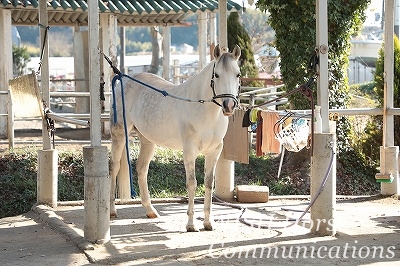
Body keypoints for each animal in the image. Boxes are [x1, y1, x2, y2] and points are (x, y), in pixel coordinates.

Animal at [108, 44, 241, 232]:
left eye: (238, 74)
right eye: (217, 74)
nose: (229, 105)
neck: (205, 111)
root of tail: (123, 80)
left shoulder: (214, 151)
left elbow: (208, 183)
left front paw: (208, 222)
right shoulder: (189, 151)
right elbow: (192, 183)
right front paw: (191, 224)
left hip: (148, 141)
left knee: (142, 169)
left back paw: (150, 210)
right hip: (119, 134)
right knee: (115, 167)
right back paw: (112, 211)